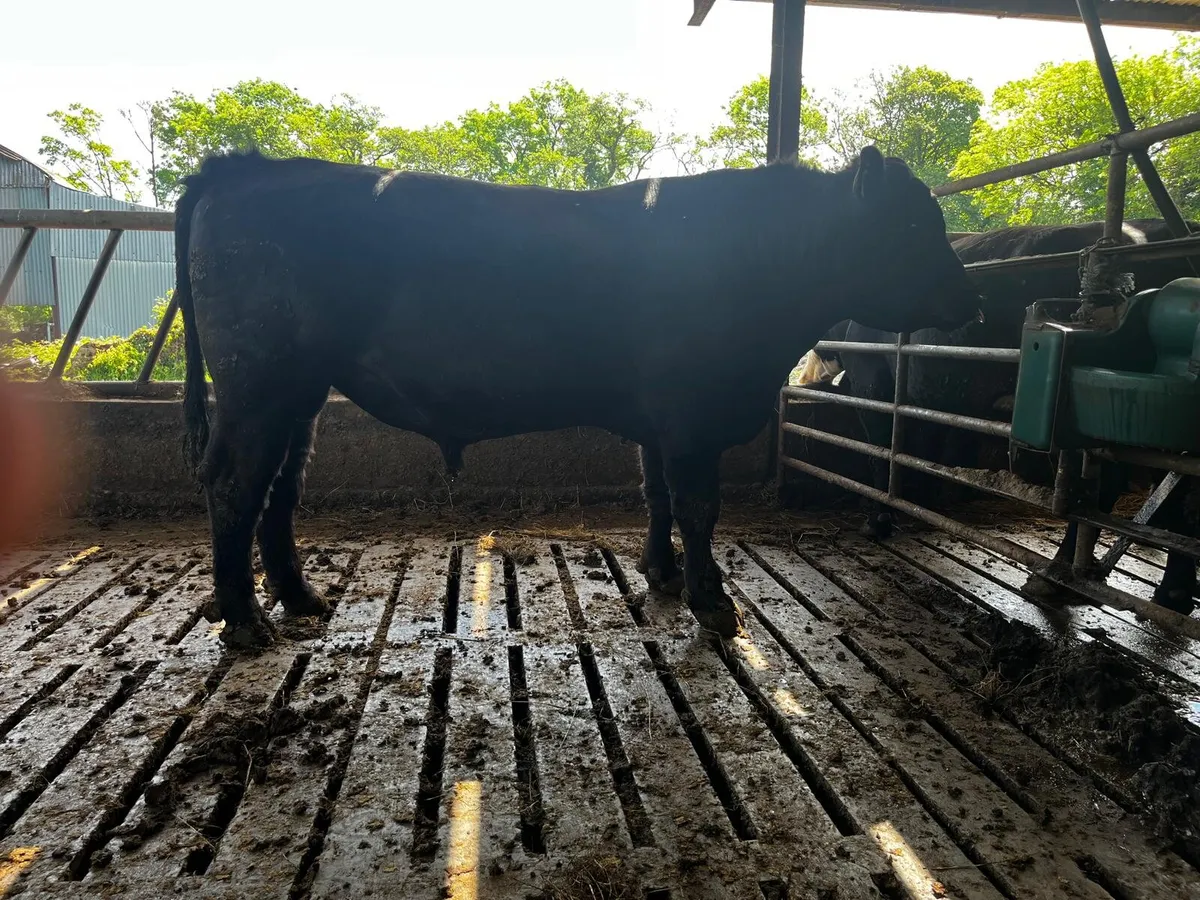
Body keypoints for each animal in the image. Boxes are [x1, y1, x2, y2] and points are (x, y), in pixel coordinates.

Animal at [174, 147, 981, 647]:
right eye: (913, 224)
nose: (965, 296)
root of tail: (240, 166)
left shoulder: (660, 419)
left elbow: (657, 495)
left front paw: (662, 575)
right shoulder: (693, 414)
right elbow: (699, 506)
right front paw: (713, 603)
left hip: (298, 390)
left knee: (280, 486)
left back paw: (299, 596)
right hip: (257, 381)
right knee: (234, 483)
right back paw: (245, 622)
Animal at [803, 219, 1199, 613]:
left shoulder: (873, 382)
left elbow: (881, 450)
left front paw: (879, 519)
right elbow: (920, 450)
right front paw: (918, 502)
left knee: (1110, 488)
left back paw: (1053, 576)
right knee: (1176, 490)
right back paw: (1173, 593)